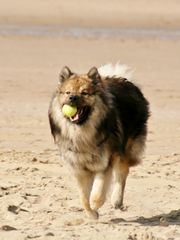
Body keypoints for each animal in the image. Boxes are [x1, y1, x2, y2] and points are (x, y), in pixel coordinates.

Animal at [48, 62, 150, 218]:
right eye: (68, 92)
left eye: (84, 93)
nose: (72, 98)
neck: (82, 135)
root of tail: (122, 79)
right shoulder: (79, 169)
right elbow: (83, 197)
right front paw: (91, 214)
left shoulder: (104, 163)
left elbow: (97, 193)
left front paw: (95, 206)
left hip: (124, 149)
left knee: (122, 172)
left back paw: (116, 200)